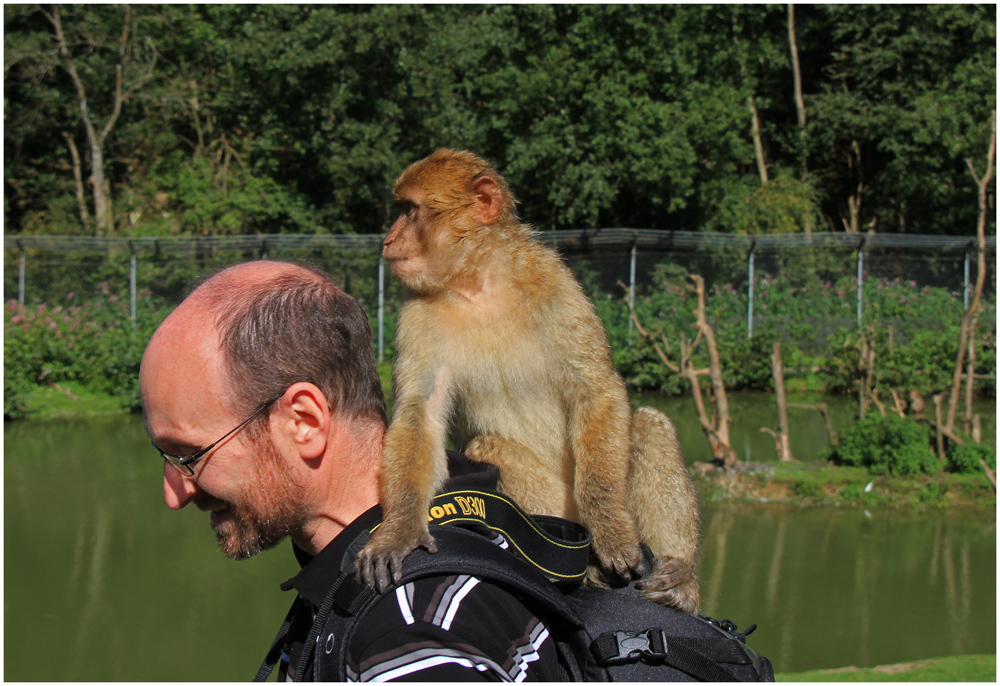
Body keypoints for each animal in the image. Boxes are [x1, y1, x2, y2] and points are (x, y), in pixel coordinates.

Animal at [356, 149, 700, 612]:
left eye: (409, 211)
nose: (388, 240)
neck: (478, 284)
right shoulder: (415, 317)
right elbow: (420, 414)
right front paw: (400, 528)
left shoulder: (555, 282)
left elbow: (596, 389)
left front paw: (608, 523)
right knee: (489, 448)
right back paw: (587, 570)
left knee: (647, 423)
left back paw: (680, 575)